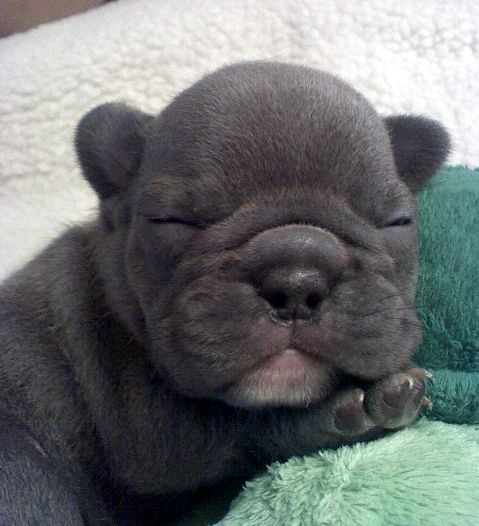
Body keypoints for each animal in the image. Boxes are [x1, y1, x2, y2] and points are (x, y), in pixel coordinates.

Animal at [0, 62, 449, 525]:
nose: (297, 280)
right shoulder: (149, 429)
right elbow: (237, 422)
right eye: (171, 220)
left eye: (397, 222)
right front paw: (359, 409)